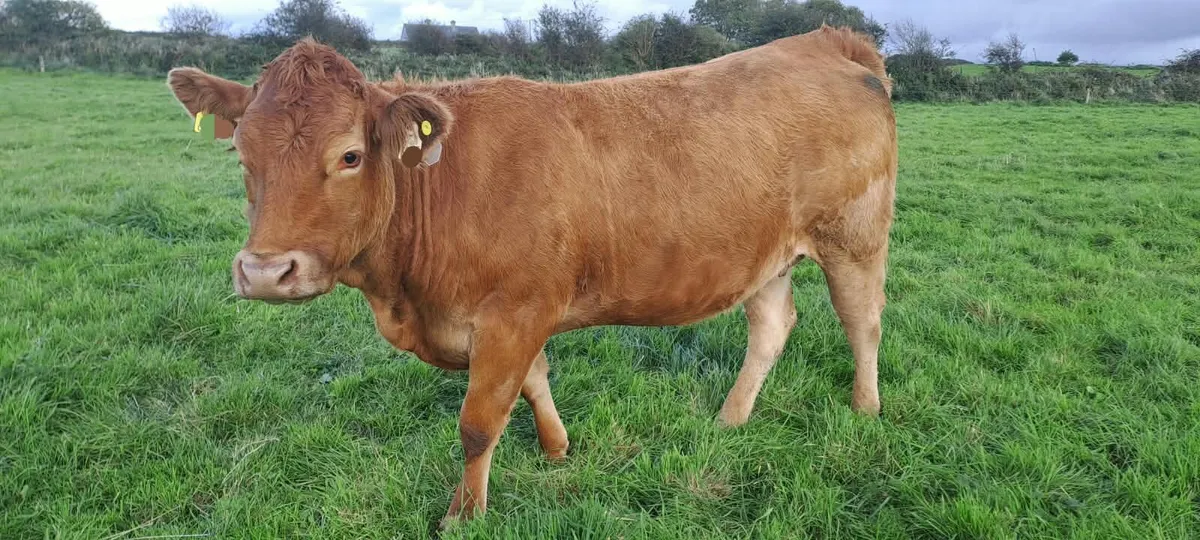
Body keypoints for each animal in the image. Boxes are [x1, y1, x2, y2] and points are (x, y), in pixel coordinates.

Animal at [166, 24, 897, 527]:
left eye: (349, 156)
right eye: (241, 153)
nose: (266, 272)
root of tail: (824, 41)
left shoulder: (514, 310)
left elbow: (479, 419)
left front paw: (463, 515)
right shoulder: (516, 313)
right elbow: (535, 381)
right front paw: (555, 449)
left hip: (855, 238)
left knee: (862, 321)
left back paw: (865, 409)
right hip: (765, 254)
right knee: (772, 327)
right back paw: (729, 421)